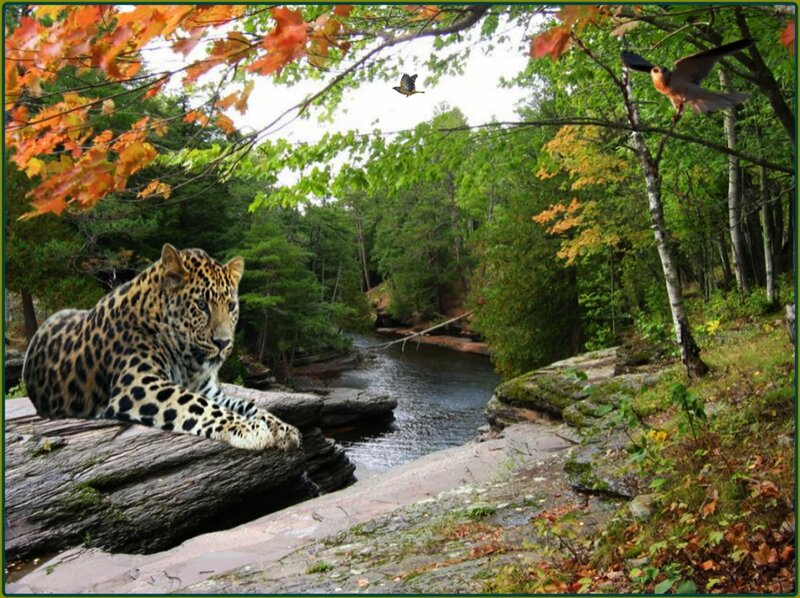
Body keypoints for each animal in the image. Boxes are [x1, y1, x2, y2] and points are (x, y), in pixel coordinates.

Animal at [22, 243, 301, 451]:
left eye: (231, 306)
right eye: (201, 305)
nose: (223, 343)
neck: (190, 362)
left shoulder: (210, 390)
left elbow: (248, 405)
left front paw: (282, 427)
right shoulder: (140, 384)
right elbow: (198, 404)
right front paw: (251, 429)